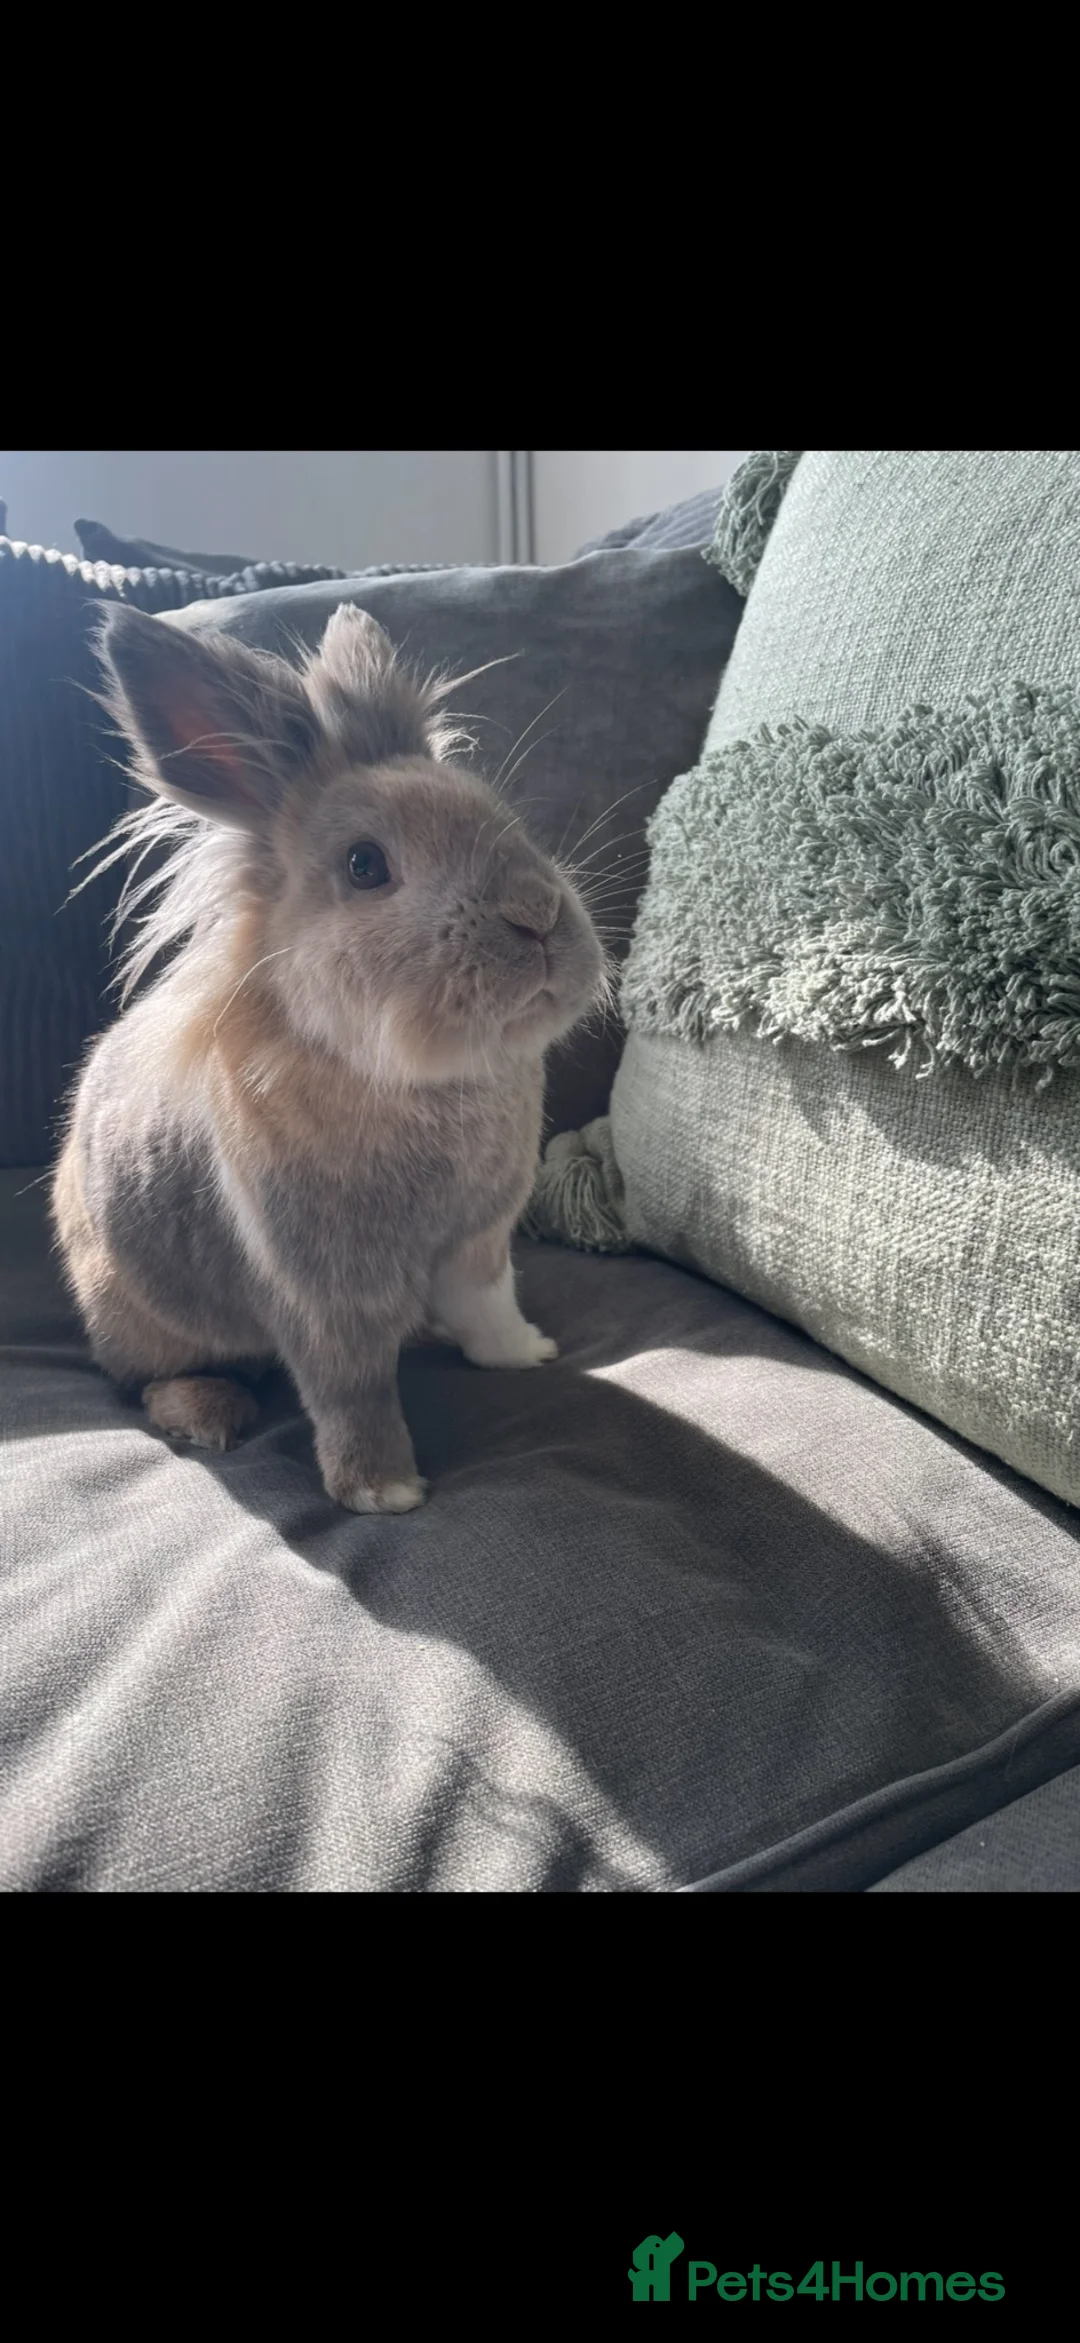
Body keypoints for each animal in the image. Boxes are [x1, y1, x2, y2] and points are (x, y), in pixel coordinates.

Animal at [52, 601, 607, 1513]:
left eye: (498, 811)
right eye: (364, 865)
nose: (536, 914)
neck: (413, 1080)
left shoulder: (480, 1243)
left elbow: (488, 1308)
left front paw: (526, 1352)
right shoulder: (322, 1293)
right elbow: (350, 1392)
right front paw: (383, 1491)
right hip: (135, 1315)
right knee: (144, 1381)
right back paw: (207, 1411)